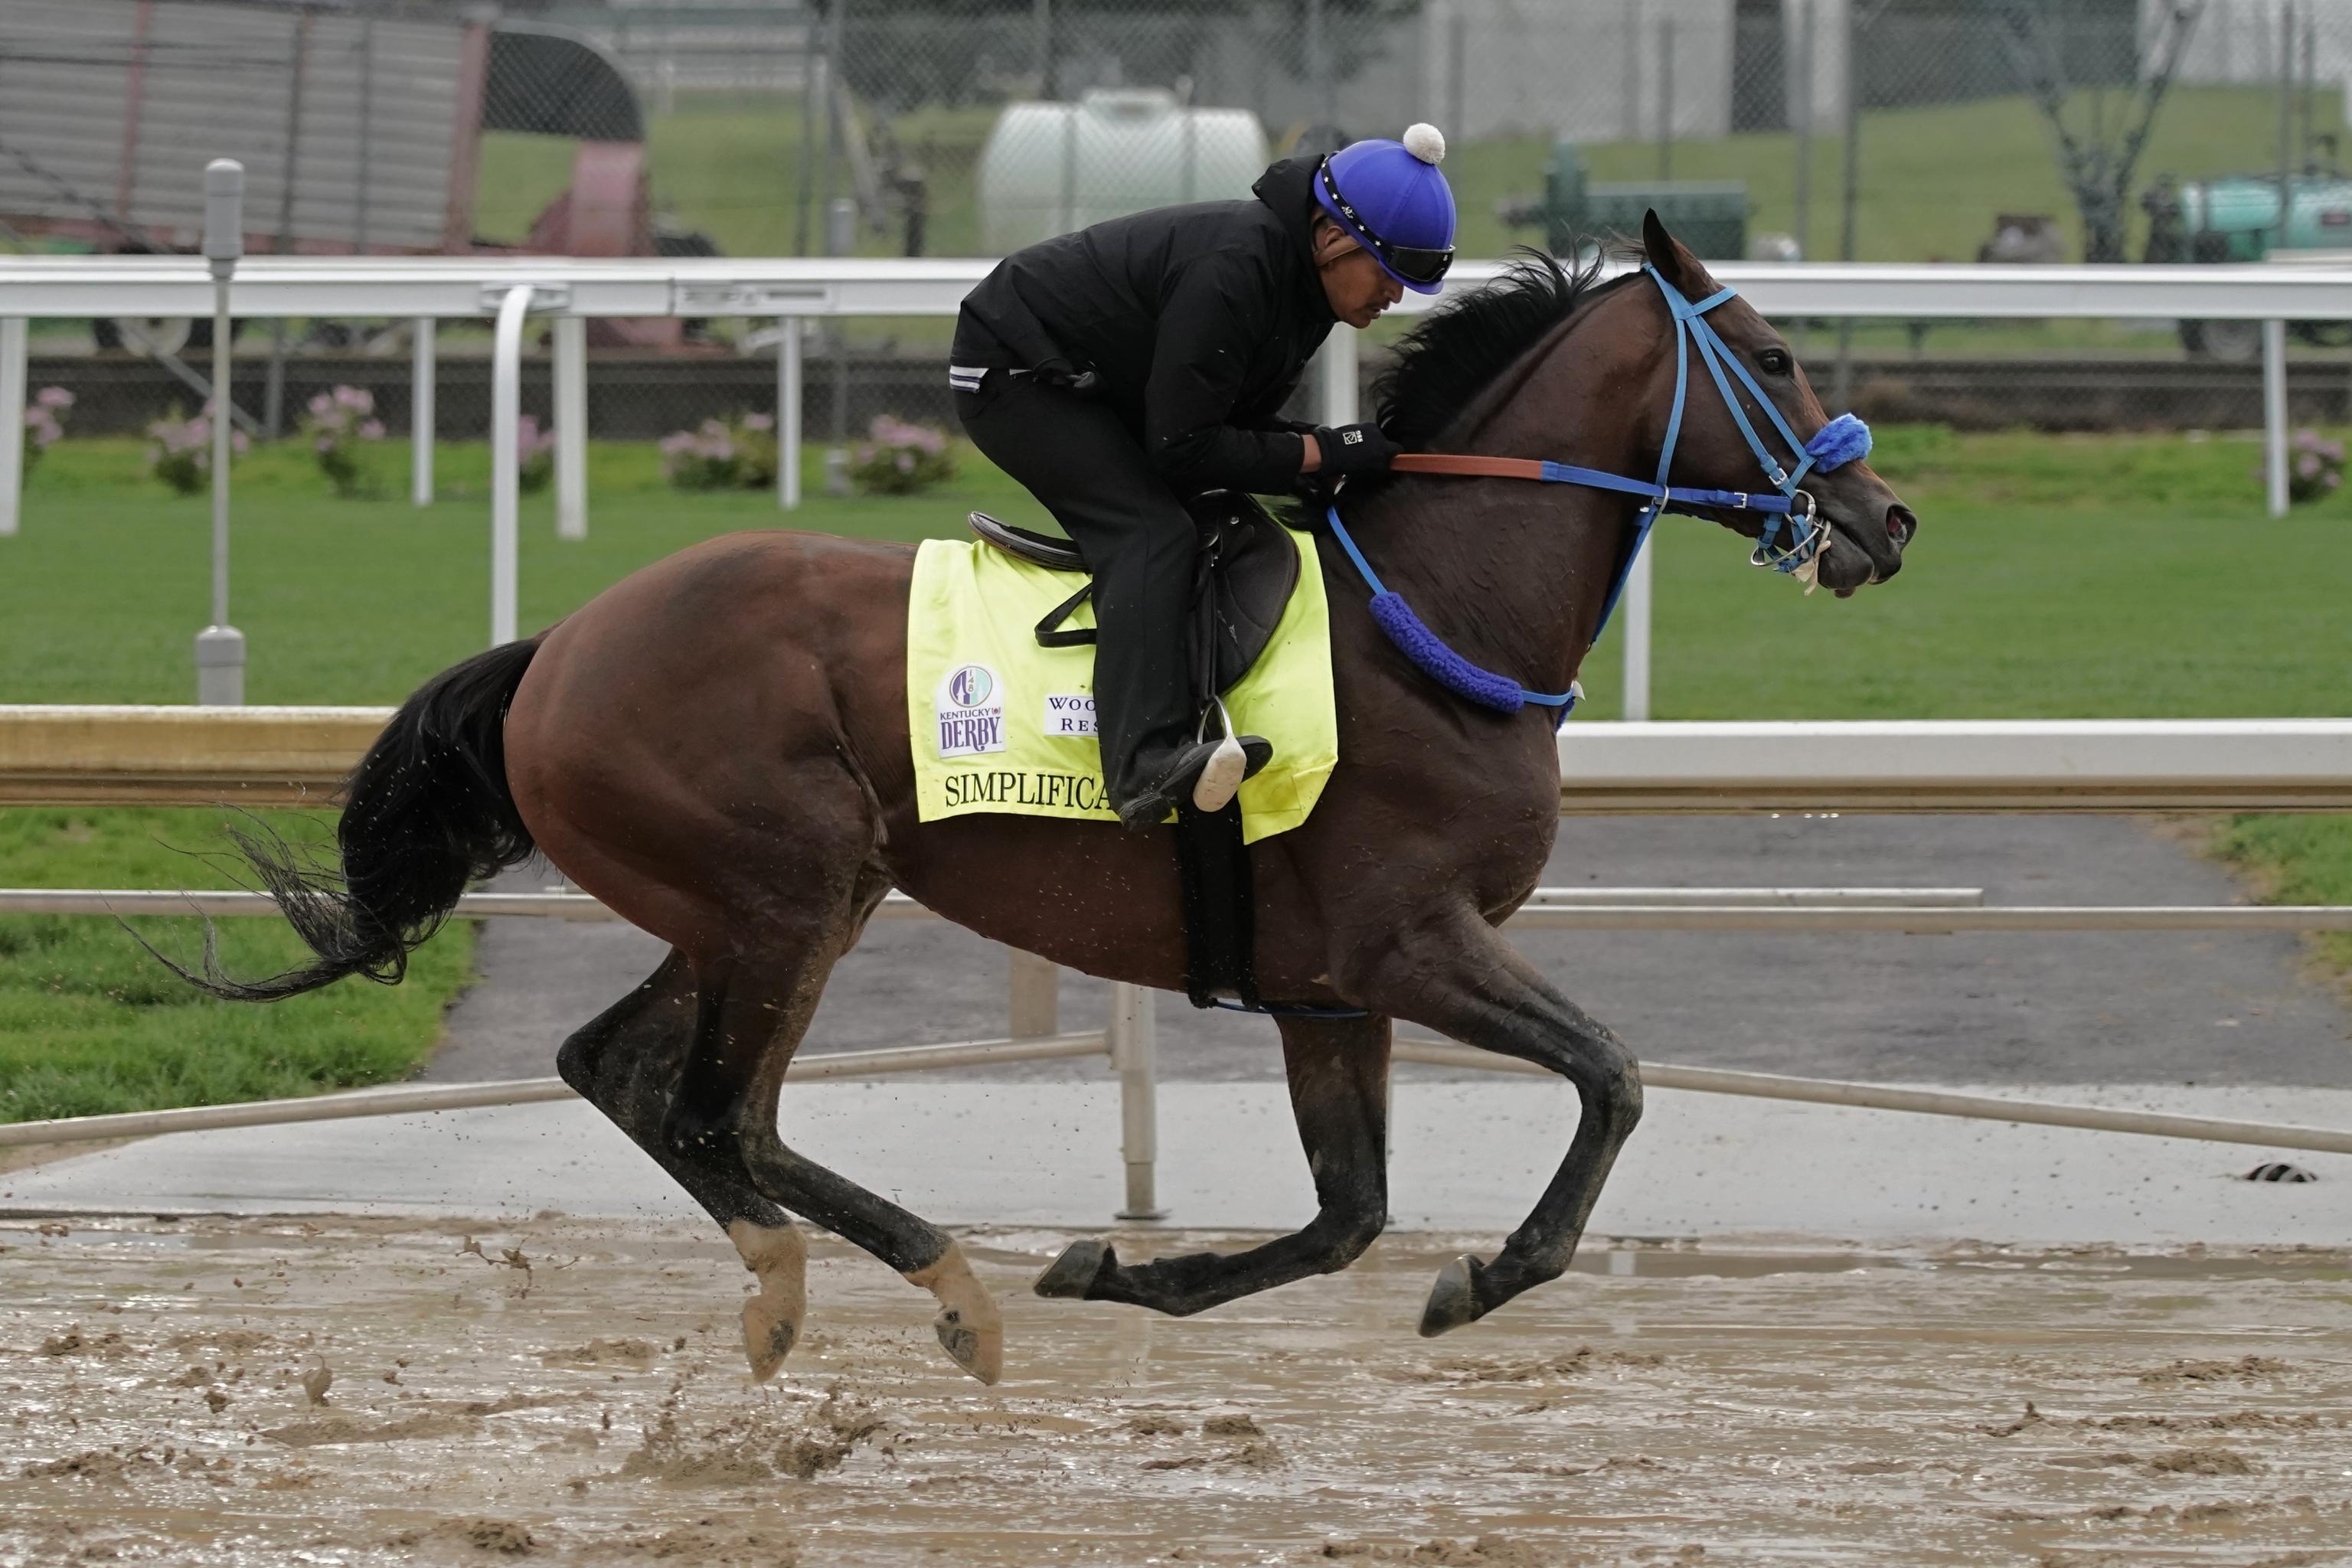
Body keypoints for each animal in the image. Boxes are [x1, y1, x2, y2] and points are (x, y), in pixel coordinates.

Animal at [178, 211, 1909, 1382]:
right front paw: (1486, 1273)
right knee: (716, 1105)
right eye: (1772, 355)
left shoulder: (1327, 987)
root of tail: (560, 649)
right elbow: (1608, 1074)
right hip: (787, 887)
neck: (1429, 619)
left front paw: (1122, 1273)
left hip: (770, 901)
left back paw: (836, 1277)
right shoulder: (1409, 941)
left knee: (636, 1075)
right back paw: (922, 1279)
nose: (1882, 517)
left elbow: (1347, 1214)